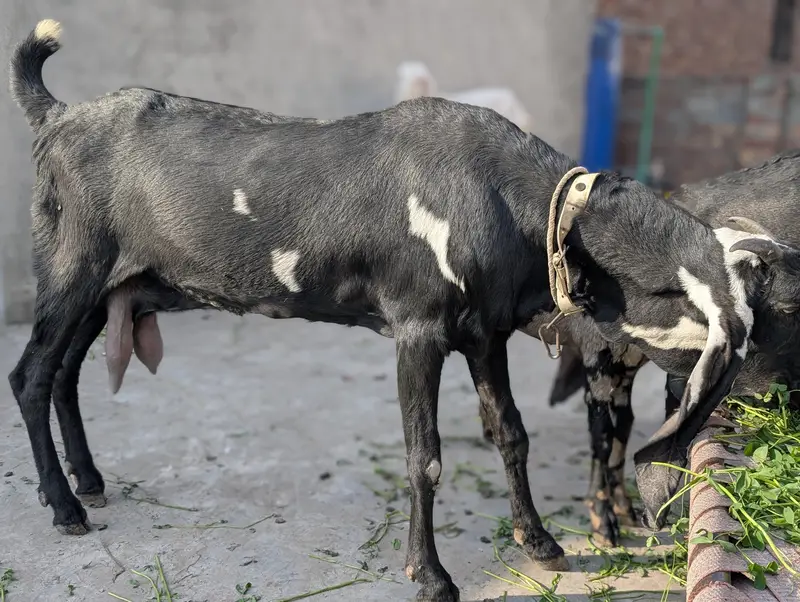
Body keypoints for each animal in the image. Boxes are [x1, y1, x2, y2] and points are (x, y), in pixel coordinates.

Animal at [504, 150, 800, 546]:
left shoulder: (631, 367)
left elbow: (624, 427)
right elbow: (602, 434)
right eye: (789, 307)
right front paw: (603, 523)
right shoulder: (599, 360)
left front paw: (623, 510)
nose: (785, 394)